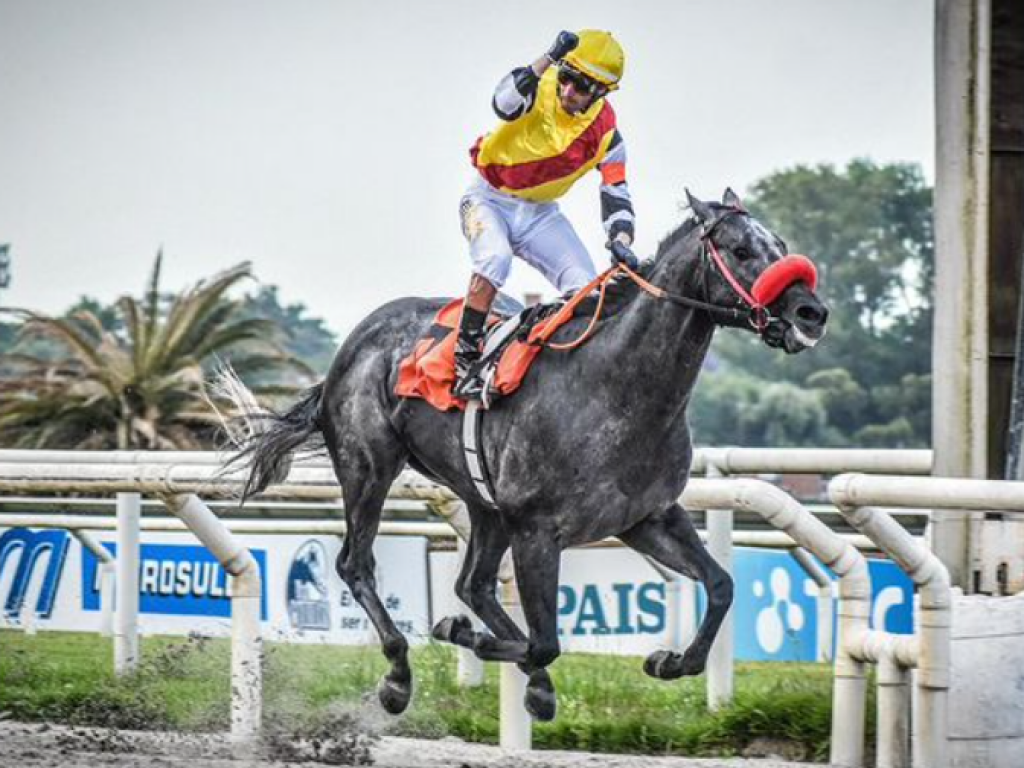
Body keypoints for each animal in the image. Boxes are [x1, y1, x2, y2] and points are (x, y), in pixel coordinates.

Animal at [228, 189, 827, 724]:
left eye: (780, 244)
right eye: (741, 250)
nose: (811, 311)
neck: (616, 388)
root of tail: (349, 348)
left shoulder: (648, 517)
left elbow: (721, 587)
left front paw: (669, 659)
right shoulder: (537, 529)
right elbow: (545, 642)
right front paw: (460, 634)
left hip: (484, 502)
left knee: (472, 583)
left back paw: (524, 678)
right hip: (369, 467)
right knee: (358, 563)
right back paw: (400, 676)